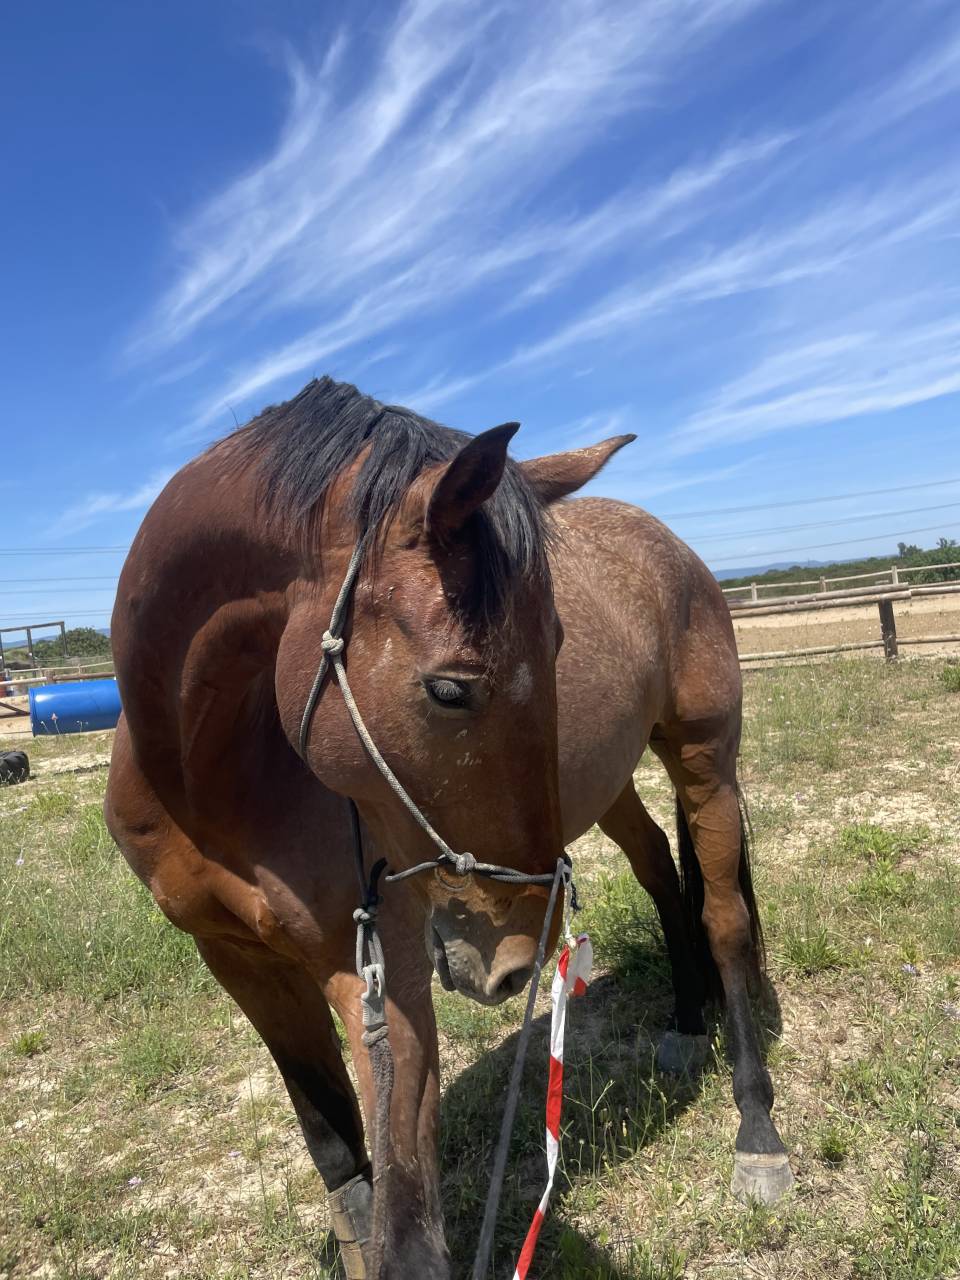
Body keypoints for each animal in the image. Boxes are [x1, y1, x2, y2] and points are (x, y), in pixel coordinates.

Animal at [105, 376, 791, 1280]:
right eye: (450, 690)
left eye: (559, 643)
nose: (514, 960)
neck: (212, 778)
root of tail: (668, 544)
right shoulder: (238, 962)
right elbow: (341, 1164)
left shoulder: (377, 966)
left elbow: (405, 1223)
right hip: (608, 788)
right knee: (660, 875)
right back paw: (683, 1024)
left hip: (705, 763)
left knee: (724, 919)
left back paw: (757, 1127)